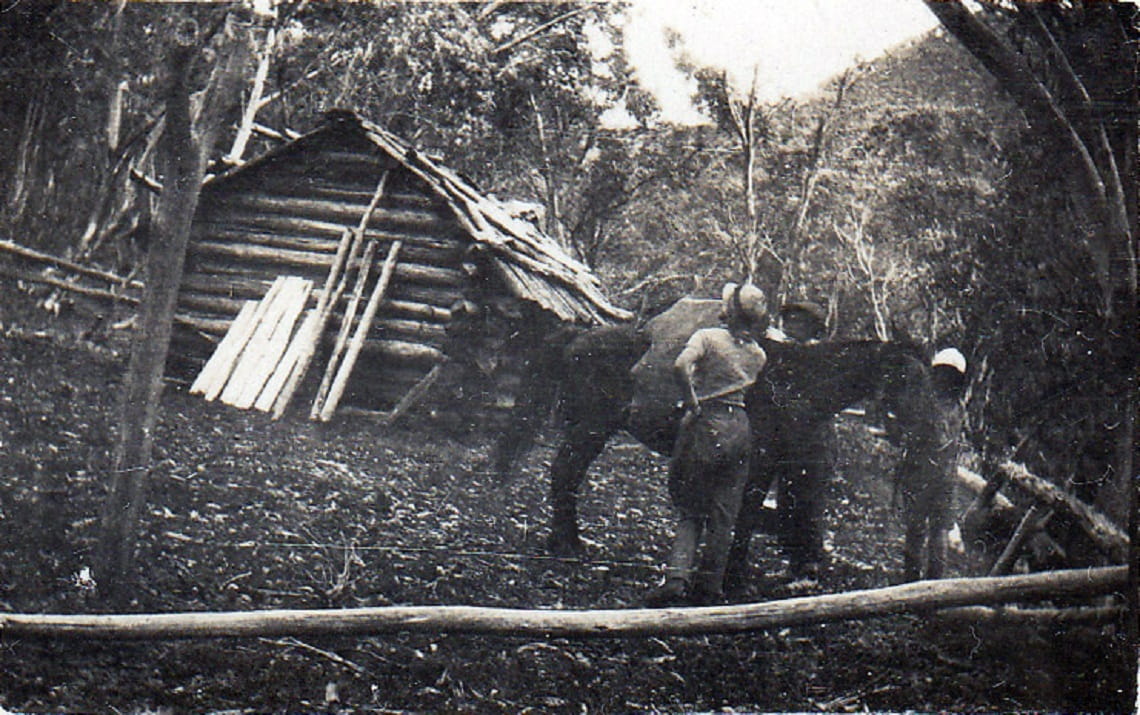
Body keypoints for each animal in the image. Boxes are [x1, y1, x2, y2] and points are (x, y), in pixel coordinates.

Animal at [499, 298, 953, 583]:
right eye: (911, 379)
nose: (932, 431)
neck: (794, 382)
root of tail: (577, 336)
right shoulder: (759, 462)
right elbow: (747, 514)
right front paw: (734, 576)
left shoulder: (773, 464)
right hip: (590, 428)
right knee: (565, 473)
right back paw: (567, 543)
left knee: (567, 475)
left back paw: (567, 539)